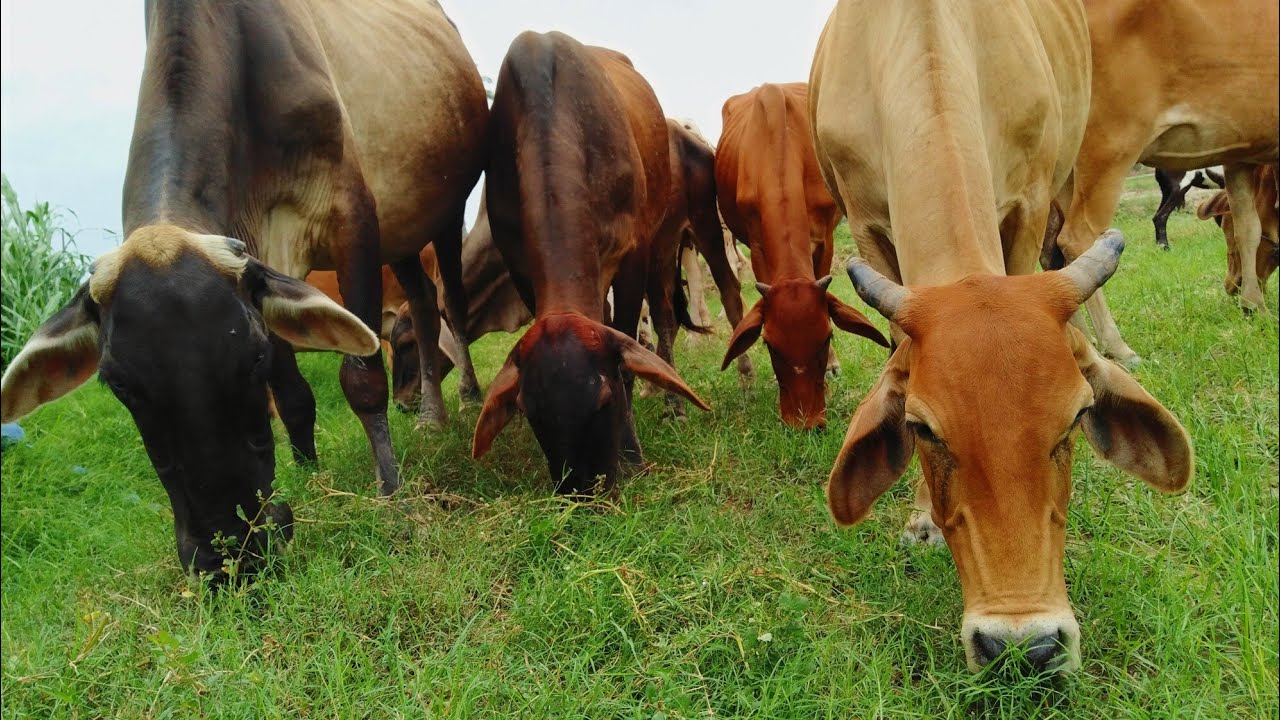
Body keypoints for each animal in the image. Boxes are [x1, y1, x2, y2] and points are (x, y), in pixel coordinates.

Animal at [0, 0, 487, 579]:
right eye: (117, 384)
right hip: (404, 237)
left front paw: (392, 496)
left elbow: (364, 379)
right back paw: (432, 415)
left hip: (443, 216)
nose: (231, 551)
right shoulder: (263, 259)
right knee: (423, 305)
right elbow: (295, 399)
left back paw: (462, 401)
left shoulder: (352, 218)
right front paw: (310, 476)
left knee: (451, 305)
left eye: (251, 358)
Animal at [472, 31, 709, 496]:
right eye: (528, 409)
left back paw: (673, 406)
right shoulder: (521, 266)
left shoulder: (634, 254)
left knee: (666, 321)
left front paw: (632, 455)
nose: (583, 492)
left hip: (663, 241)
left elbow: (629, 346)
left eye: (604, 399)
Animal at [811, 0, 1193, 673]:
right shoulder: (866, 224)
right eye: (920, 429)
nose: (1024, 647)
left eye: (1076, 420)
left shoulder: (1031, 201)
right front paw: (920, 517)